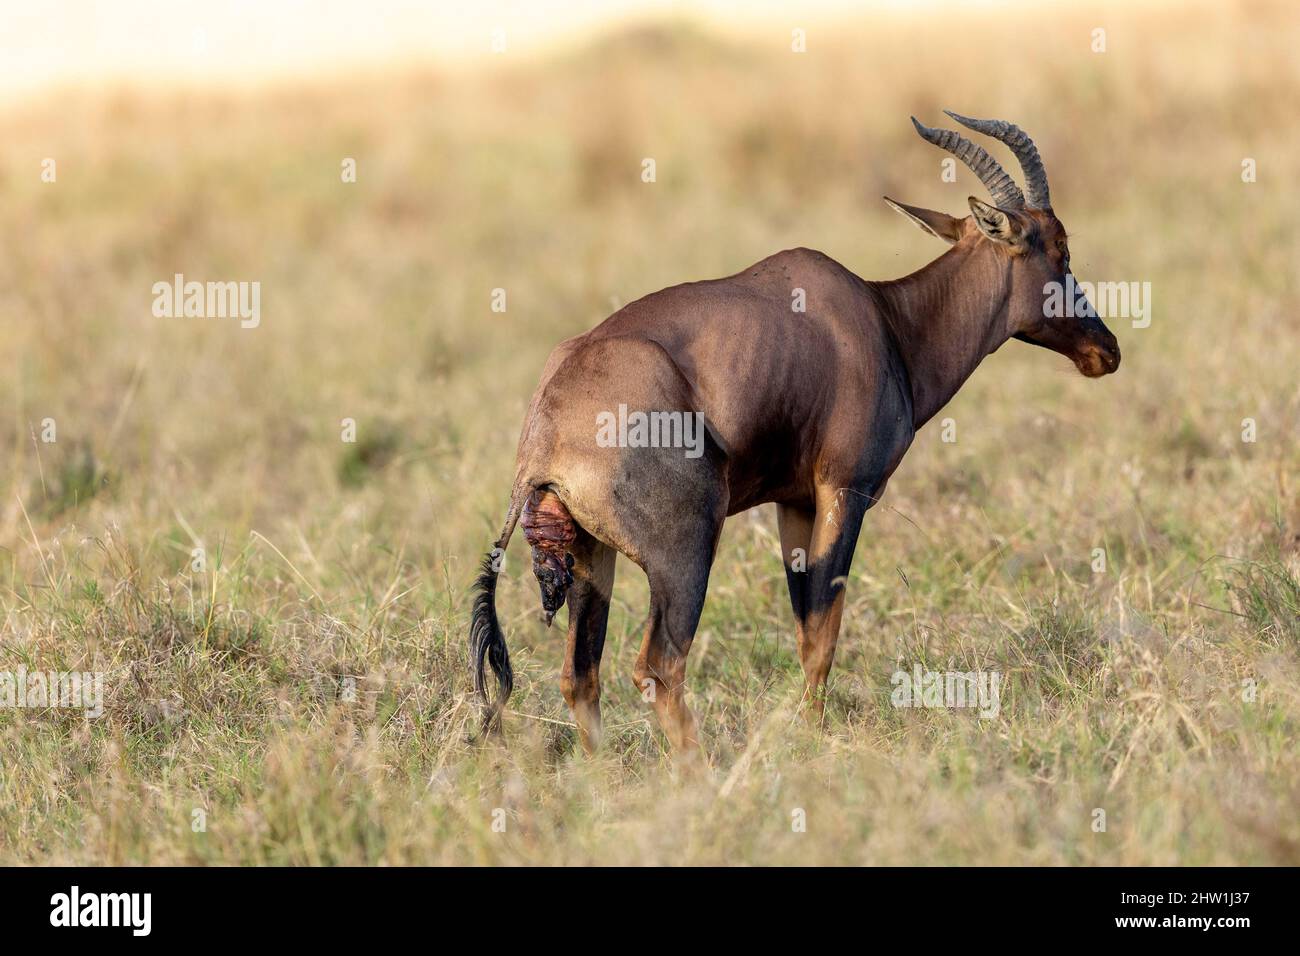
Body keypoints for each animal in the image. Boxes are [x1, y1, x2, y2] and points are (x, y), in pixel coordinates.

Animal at [473, 111, 1123, 754]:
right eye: (1060, 249)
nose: (1107, 350)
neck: (884, 319)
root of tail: (544, 436)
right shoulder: (844, 490)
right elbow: (825, 630)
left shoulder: (795, 502)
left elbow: (806, 627)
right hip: (686, 550)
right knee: (659, 666)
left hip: (589, 552)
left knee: (580, 676)